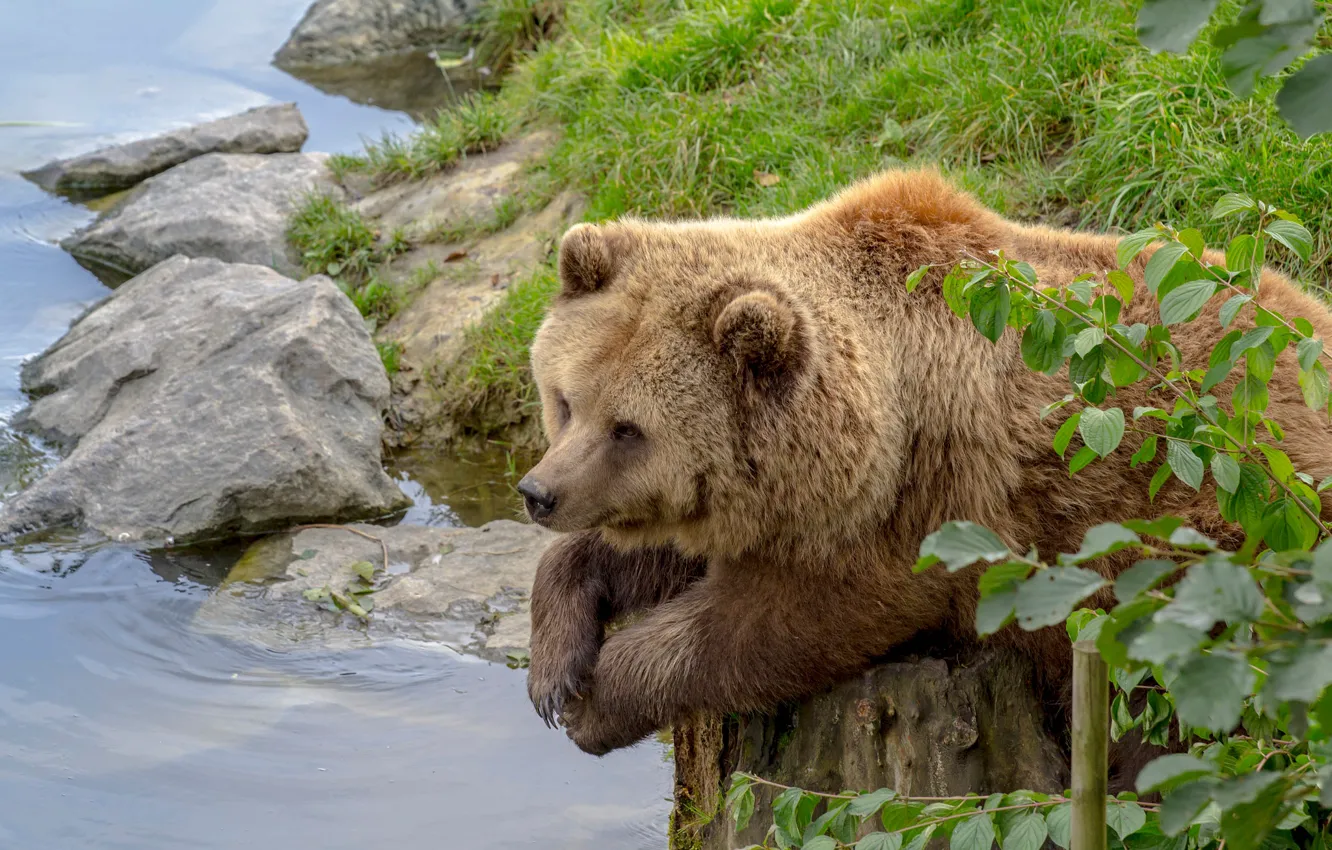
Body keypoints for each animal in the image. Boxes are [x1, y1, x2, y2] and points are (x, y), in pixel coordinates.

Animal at [514, 166, 1332, 767]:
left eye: (630, 429)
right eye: (566, 400)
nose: (537, 492)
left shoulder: (918, 515)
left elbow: (771, 626)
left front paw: (599, 698)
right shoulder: (771, 504)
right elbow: (656, 549)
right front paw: (555, 666)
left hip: (1217, 543)